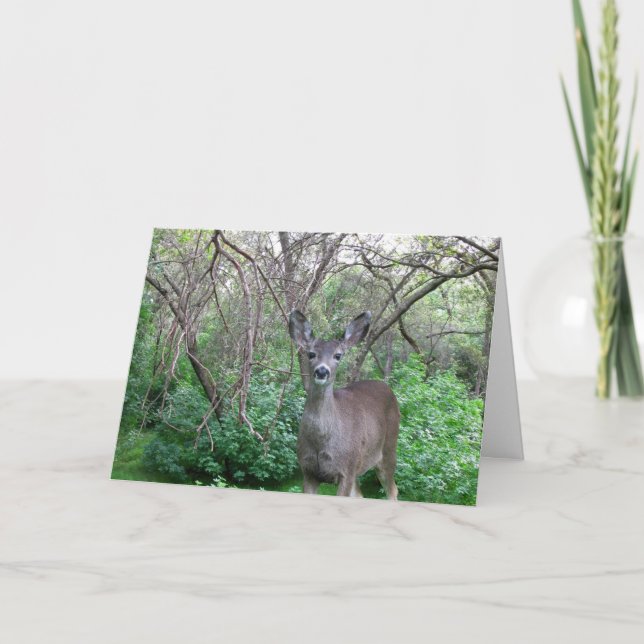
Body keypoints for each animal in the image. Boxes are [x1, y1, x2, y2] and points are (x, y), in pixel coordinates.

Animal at [288, 310, 400, 500]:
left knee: (393, 490)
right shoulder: (308, 471)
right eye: (311, 354)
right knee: (361, 495)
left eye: (338, 355)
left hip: (388, 449)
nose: (322, 371)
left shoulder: (346, 469)